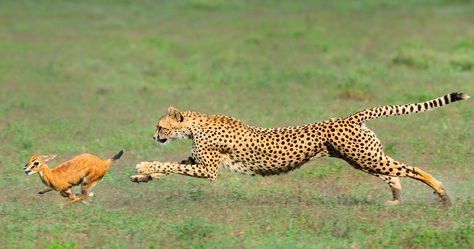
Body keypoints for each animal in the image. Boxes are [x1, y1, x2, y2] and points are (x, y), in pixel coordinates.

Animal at [131, 92, 470, 205]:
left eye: (160, 126)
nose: (153, 137)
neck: (196, 125)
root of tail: (349, 117)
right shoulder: (197, 161)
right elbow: (173, 165)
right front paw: (143, 176)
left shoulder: (207, 170)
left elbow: (170, 165)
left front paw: (144, 167)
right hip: (366, 158)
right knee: (394, 174)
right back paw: (396, 200)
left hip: (366, 157)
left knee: (413, 169)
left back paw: (443, 195)